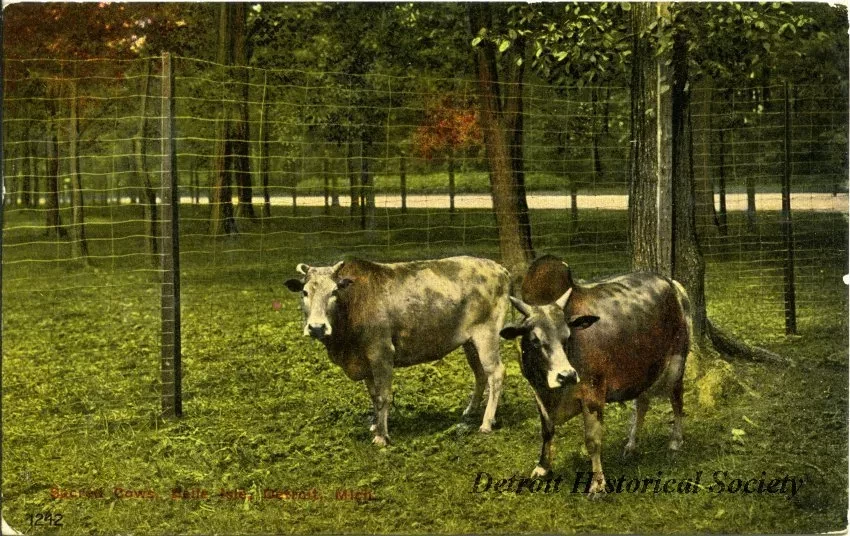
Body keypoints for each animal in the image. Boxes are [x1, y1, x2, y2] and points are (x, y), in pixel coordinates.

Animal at [284, 256, 511, 446]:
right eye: (305, 292)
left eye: (333, 292)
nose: (317, 327)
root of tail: (498, 268)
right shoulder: (365, 362)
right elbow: (373, 395)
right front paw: (375, 424)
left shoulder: (381, 352)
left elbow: (383, 395)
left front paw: (381, 436)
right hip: (469, 342)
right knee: (480, 374)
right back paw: (472, 411)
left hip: (487, 335)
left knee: (496, 373)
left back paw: (486, 422)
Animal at [500, 255, 692, 496]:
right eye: (534, 340)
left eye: (567, 336)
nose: (566, 375)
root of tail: (672, 284)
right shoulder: (538, 393)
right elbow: (547, 430)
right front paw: (542, 468)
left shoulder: (593, 393)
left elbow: (592, 440)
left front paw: (598, 484)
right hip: (643, 370)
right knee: (642, 403)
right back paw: (631, 445)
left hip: (677, 362)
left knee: (677, 399)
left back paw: (675, 442)